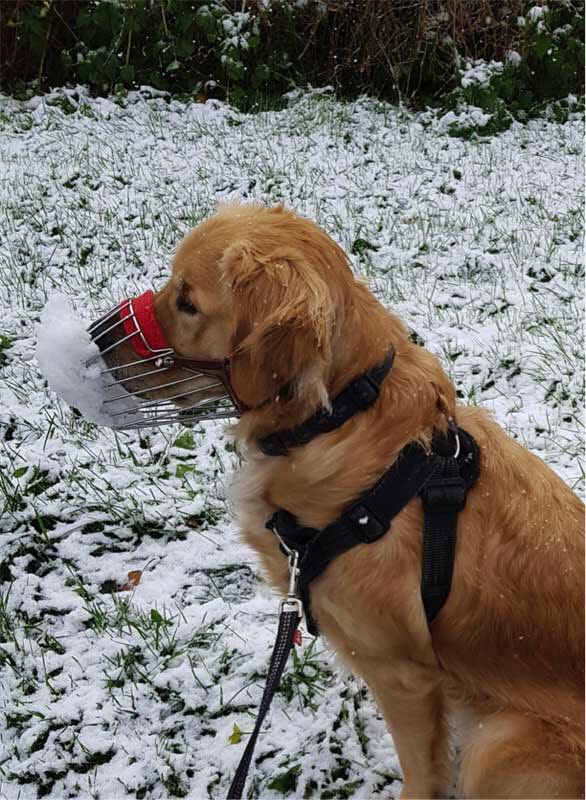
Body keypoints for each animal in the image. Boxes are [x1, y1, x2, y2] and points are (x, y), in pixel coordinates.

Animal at [94, 205, 580, 800]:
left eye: (187, 302)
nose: (100, 343)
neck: (341, 414)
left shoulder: (403, 675)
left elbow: (421, 772)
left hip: (501, 742)